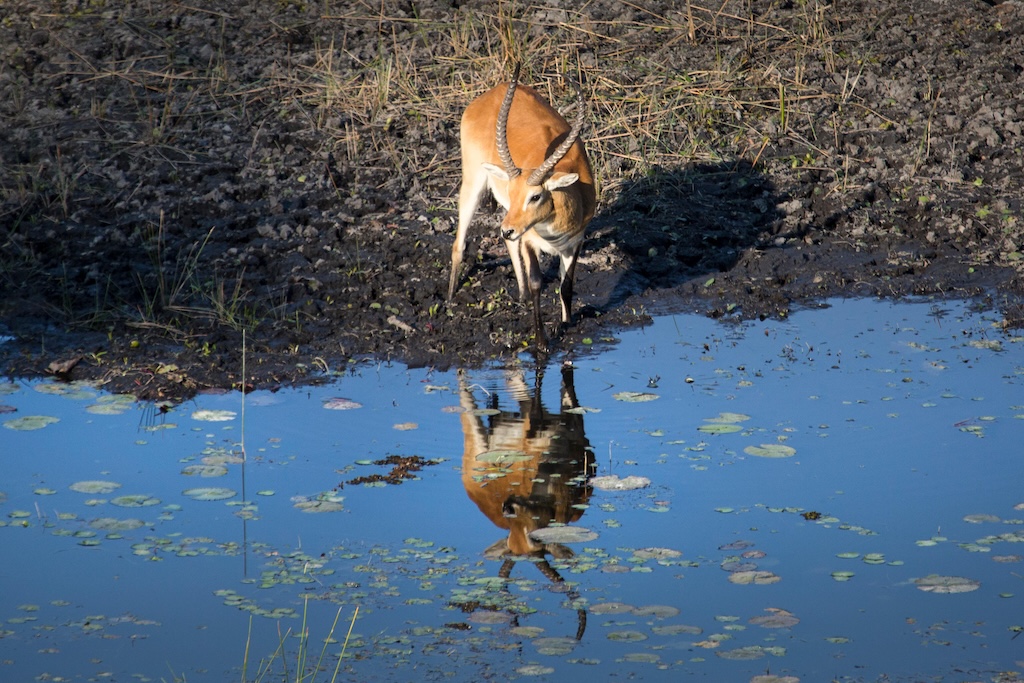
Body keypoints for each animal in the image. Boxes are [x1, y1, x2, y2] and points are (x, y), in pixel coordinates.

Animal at [448, 63, 598, 348]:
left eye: (535, 196)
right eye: (513, 190)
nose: (508, 229)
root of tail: (492, 93)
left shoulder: (575, 241)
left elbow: (567, 284)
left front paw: (566, 322)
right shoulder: (529, 239)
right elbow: (538, 281)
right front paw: (541, 344)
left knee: (508, 244)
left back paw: (522, 294)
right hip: (474, 182)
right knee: (459, 242)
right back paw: (450, 298)